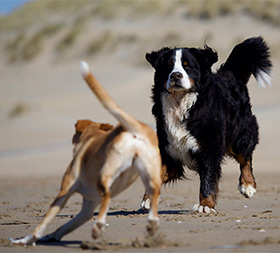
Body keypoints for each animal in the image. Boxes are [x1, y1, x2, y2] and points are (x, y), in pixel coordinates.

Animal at [10, 61, 162, 245]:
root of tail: (134, 128)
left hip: (106, 172)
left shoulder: (64, 191)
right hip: (149, 174)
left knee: (107, 195)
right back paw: (152, 224)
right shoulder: (87, 208)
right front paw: (51, 236)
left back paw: (99, 226)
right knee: (154, 194)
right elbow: (66, 226)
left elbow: (43, 223)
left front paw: (26, 240)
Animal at [142, 36, 272, 212]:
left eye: (187, 66)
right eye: (168, 66)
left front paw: (205, 205)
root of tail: (229, 74)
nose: (175, 75)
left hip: (240, 135)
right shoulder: (168, 148)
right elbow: (156, 174)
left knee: (245, 158)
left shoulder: (209, 146)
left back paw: (247, 185)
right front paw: (148, 200)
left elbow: (208, 179)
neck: (180, 104)